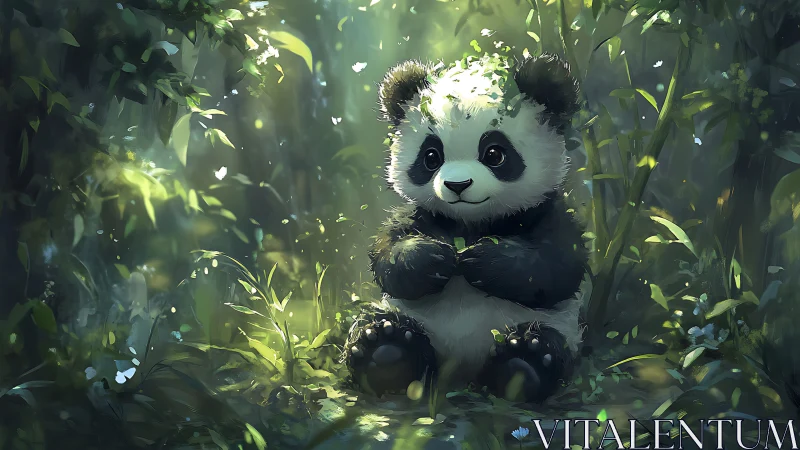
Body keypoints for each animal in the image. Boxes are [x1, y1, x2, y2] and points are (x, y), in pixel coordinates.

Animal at [344, 52, 588, 404]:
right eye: (431, 157)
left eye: (495, 153)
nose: (457, 185)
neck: (471, 221)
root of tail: (460, 371)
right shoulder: (421, 215)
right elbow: (387, 255)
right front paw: (434, 258)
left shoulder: (548, 212)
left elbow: (558, 266)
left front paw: (484, 258)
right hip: (415, 318)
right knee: (387, 323)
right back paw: (385, 350)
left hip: (558, 326)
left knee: (549, 343)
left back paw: (523, 361)